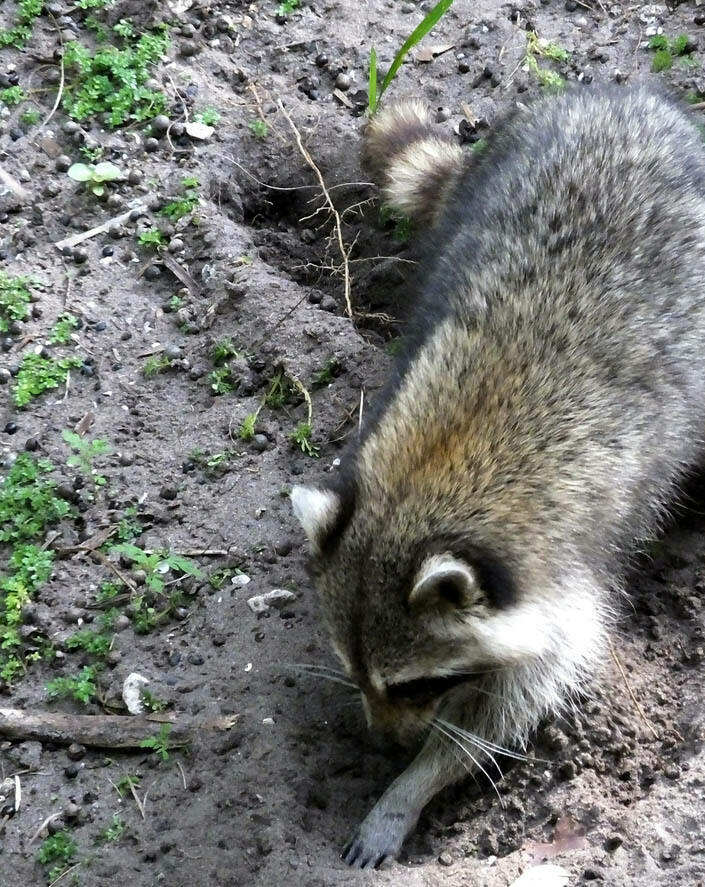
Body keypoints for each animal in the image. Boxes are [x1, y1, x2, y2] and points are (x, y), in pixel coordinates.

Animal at [288, 88, 704, 868]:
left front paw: (415, 784)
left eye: (420, 682)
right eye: (353, 670)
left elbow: (511, 704)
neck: (432, 474)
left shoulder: (568, 578)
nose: (385, 745)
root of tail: (621, 99)